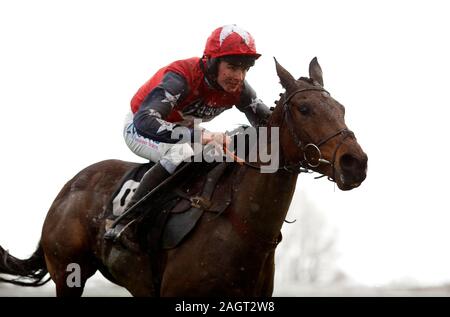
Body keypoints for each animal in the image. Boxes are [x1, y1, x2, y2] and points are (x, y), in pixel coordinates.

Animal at [0, 57, 366, 296]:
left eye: (342, 109)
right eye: (305, 109)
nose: (356, 163)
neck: (239, 222)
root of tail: (66, 189)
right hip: (68, 272)